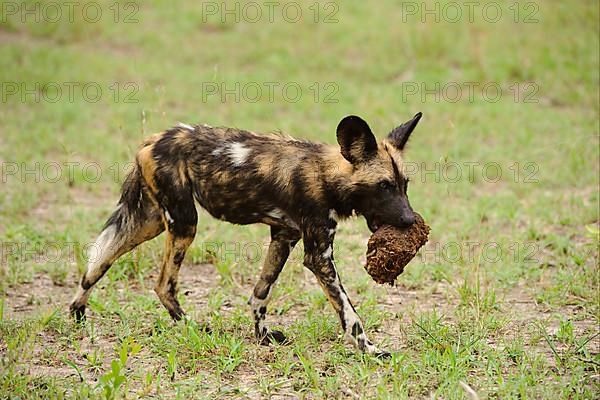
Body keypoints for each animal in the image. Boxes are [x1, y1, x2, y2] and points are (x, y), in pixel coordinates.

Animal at [71, 112, 422, 356]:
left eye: (404, 184)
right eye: (383, 186)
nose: (409, 220)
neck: (326, 176)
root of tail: (153, 139)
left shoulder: (283, 237)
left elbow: (260, 293)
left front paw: (262, 336)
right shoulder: (319, 257)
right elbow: (350, 314)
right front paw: (370, 351)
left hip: (151, 222)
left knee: (98, 262)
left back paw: (77, 313)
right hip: (183, 223)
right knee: (162, 285)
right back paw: (190, 327)